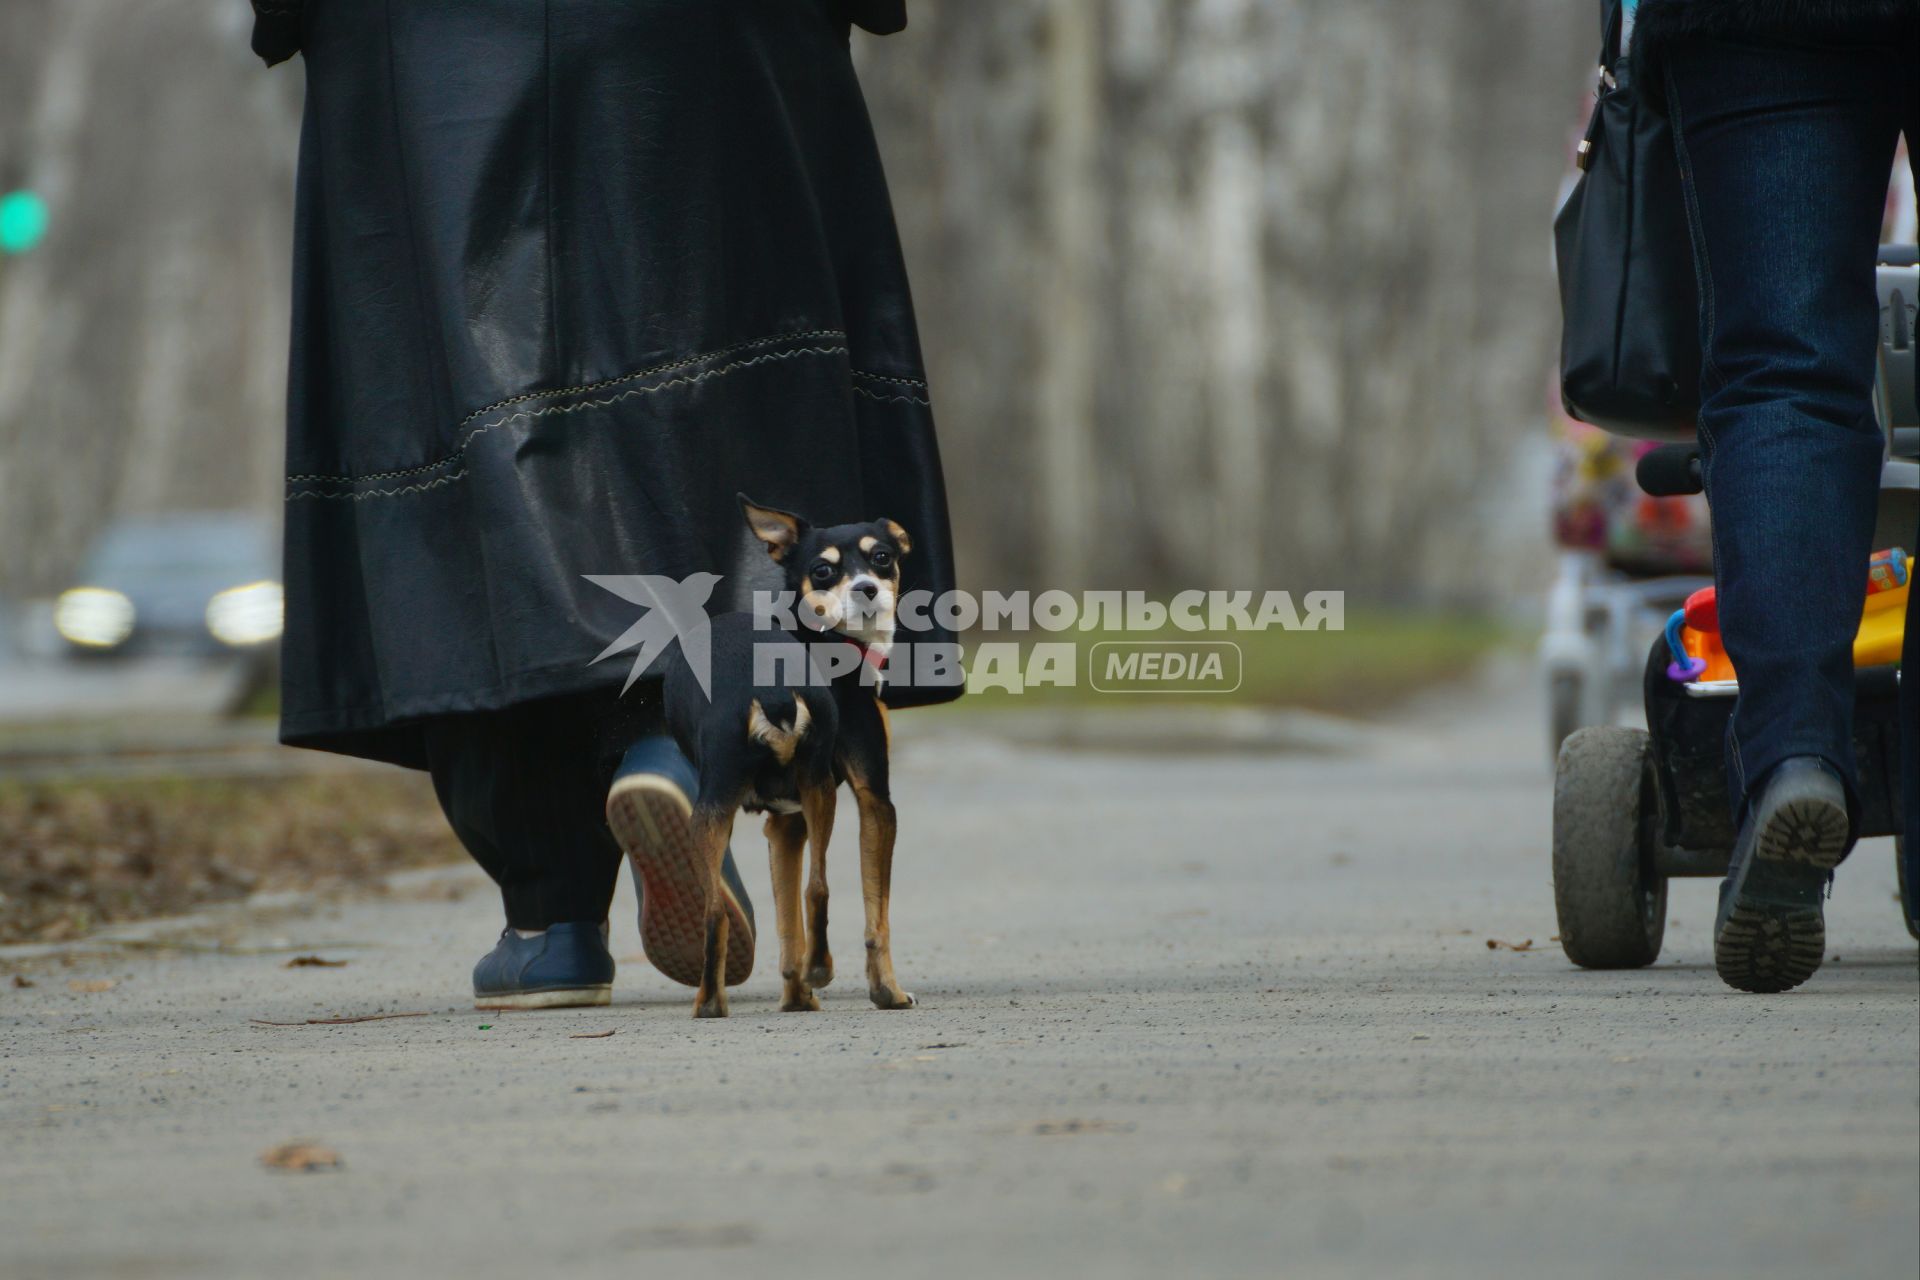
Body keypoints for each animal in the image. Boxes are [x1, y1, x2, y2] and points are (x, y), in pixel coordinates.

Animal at [648, 495, 917, 1013]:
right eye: (823, 570)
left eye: (882, 557)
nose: (868, 588)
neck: (827, 637)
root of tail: (766, 684)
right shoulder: (876, 800)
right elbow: (877, 916)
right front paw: (887, 991)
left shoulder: (784, 825)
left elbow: (787, 923)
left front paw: (796, 995)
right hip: (817, 795)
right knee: (819, 886)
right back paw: (821, 969)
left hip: (711, 812)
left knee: (717, 910)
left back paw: (710, 1003)